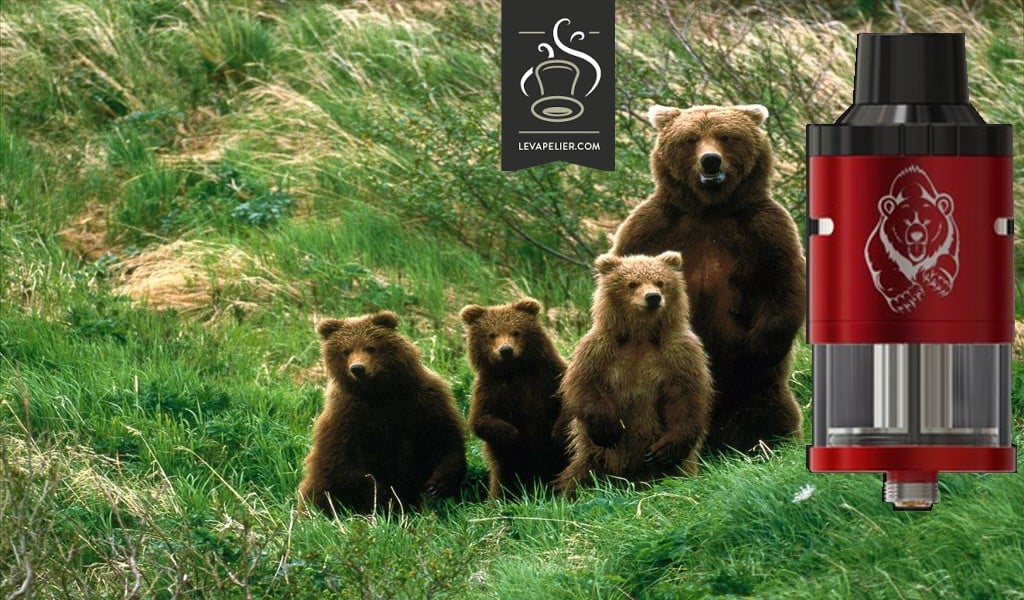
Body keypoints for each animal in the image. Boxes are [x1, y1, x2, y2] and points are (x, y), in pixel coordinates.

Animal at [298, 311, 467, 515]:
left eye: (370, 347)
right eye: (346, 350)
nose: (357, 368)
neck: (379, 392)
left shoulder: (423, 400)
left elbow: (445, 437)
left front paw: (438, 483)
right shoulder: (346, 415)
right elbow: (341, 460)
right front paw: (383, 494)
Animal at [460, 298, 570, 499]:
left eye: (516, 331)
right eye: (492, 334)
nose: (506, 350)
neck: (515, 371)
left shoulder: (549, 377)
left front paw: (557, 432)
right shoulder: (491, 390)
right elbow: (481, 420)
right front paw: (514, 434)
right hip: (505, 466)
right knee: (503, 482)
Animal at [555, 252, 713, 497]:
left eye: (660, 282)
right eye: (632, 283)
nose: (653, 297)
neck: (640, 335)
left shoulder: (679, 354)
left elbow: (686, 395)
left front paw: (665, 448)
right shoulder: (600, 350)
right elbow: (583, 385)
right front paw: (609, 428)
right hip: (593, 457)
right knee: (579, 476)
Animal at [611, 104, 805, 454]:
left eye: (725, 136)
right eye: (690, 139)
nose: (710, 160)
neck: (710, 209)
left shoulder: (765, 229)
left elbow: (782, 285)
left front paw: (755, 350)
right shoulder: (651, 228)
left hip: (757, 394)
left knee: (767, 411)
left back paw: (765, 443)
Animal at [865, 165, 959, 314]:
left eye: (927, 219)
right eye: (905, 220)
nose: (916, 234)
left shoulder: (949, 240)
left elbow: (948, 258)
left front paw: (937, 280)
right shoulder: (880, 244)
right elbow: (885, 271)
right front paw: (907, 297)